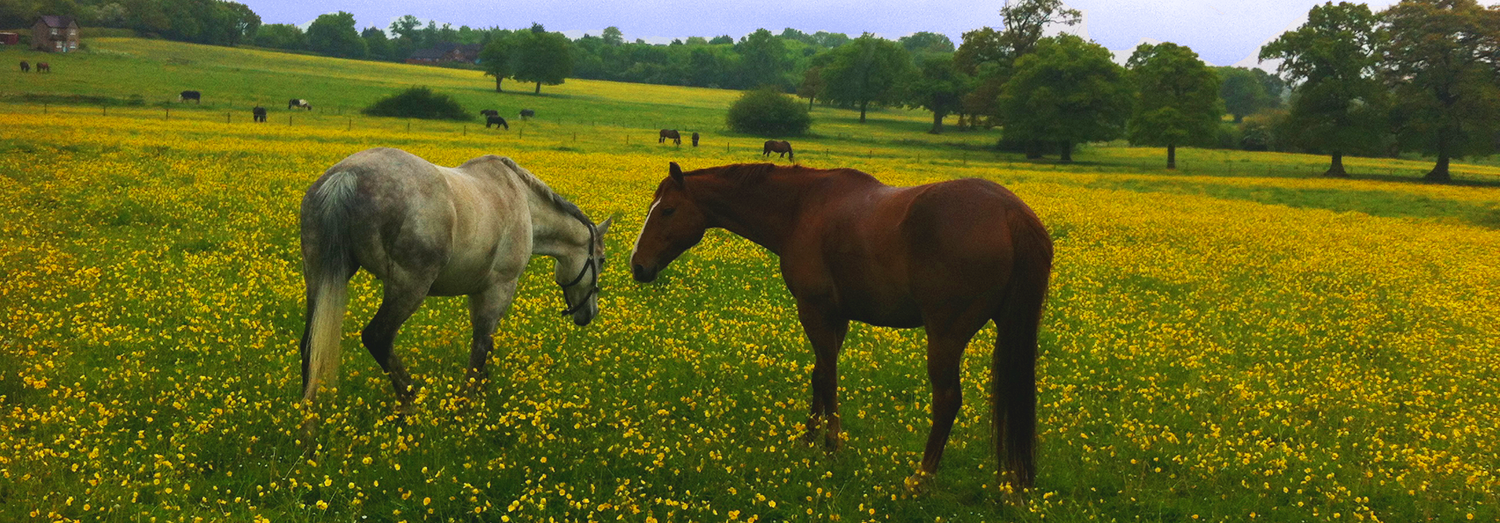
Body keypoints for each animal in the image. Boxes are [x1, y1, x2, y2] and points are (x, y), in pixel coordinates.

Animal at [299, 148, 613, 411]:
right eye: (601, 260)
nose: (589, 313)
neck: (521, 198)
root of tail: (346, 175)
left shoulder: (479, 291)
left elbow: (485, 343)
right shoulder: (500, 288)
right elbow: (481, 345)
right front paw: (468, 402)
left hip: (317, 276)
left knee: (310, 344)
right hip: (409, 287)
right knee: (378, 338)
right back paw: (411, 403)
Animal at [629, 162, 1052, 494]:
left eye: (667, 210)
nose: (638, 265)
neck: (801, 209)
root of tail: (1011, 212)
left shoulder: (814, 310)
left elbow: (829, 378)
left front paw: (831, 445)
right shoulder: (837, 316)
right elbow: (819, 375)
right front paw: (807, 439)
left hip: (945, 335)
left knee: (947, 400)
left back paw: (920, 478)